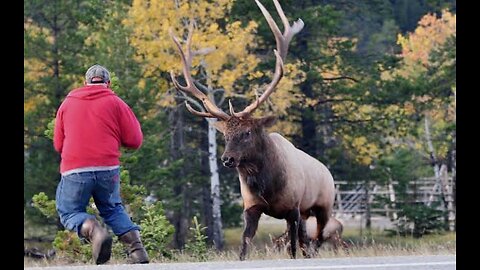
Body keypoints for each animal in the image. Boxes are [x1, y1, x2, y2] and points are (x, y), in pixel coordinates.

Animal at [171, 0, 344, 260]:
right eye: (225, 135)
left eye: (247, 132)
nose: (227, 159)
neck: (267, 186)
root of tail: (328, 172)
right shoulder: (251, 207)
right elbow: (245, 243)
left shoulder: (293, 208)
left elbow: (292, 247)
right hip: (307, 214)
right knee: (307, 240)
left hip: (323, 206)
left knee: (317, 238)